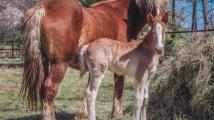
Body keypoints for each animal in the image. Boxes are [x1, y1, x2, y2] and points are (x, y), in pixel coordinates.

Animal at [20, 0, 167, 119]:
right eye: (150, 5)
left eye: (164, 4)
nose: (158, 19)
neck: (122, 14)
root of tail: (43, 7)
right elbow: (118, 88)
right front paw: (116, 113)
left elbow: (89, 89)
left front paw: (82, 114)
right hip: (60, 63)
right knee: (49, 89)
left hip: (45, 62)